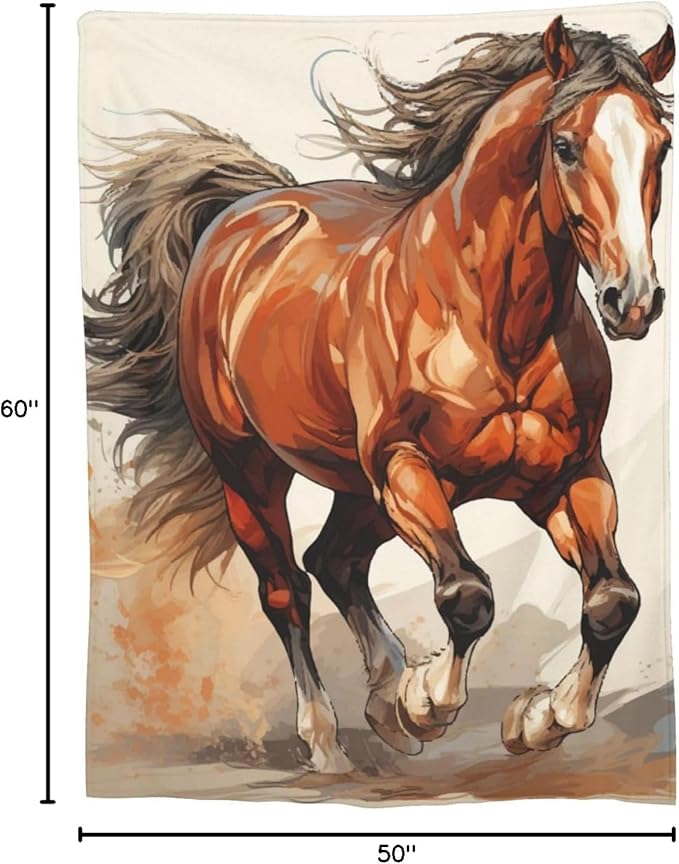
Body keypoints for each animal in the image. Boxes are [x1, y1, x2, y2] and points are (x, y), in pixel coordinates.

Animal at [85, 16, 674, 773]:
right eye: (566, 146)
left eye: (659, 146)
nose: (632, 301)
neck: (491, 320)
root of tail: (243, 213)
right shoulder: (405, 467)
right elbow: (467, 594)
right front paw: (425, 702)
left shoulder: (569, 475)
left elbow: (612, 601)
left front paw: (539, 718)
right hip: (250, 470)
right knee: (288, 588)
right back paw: (327, 739)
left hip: (357, 488)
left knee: (332, 560)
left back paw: (383, 698)